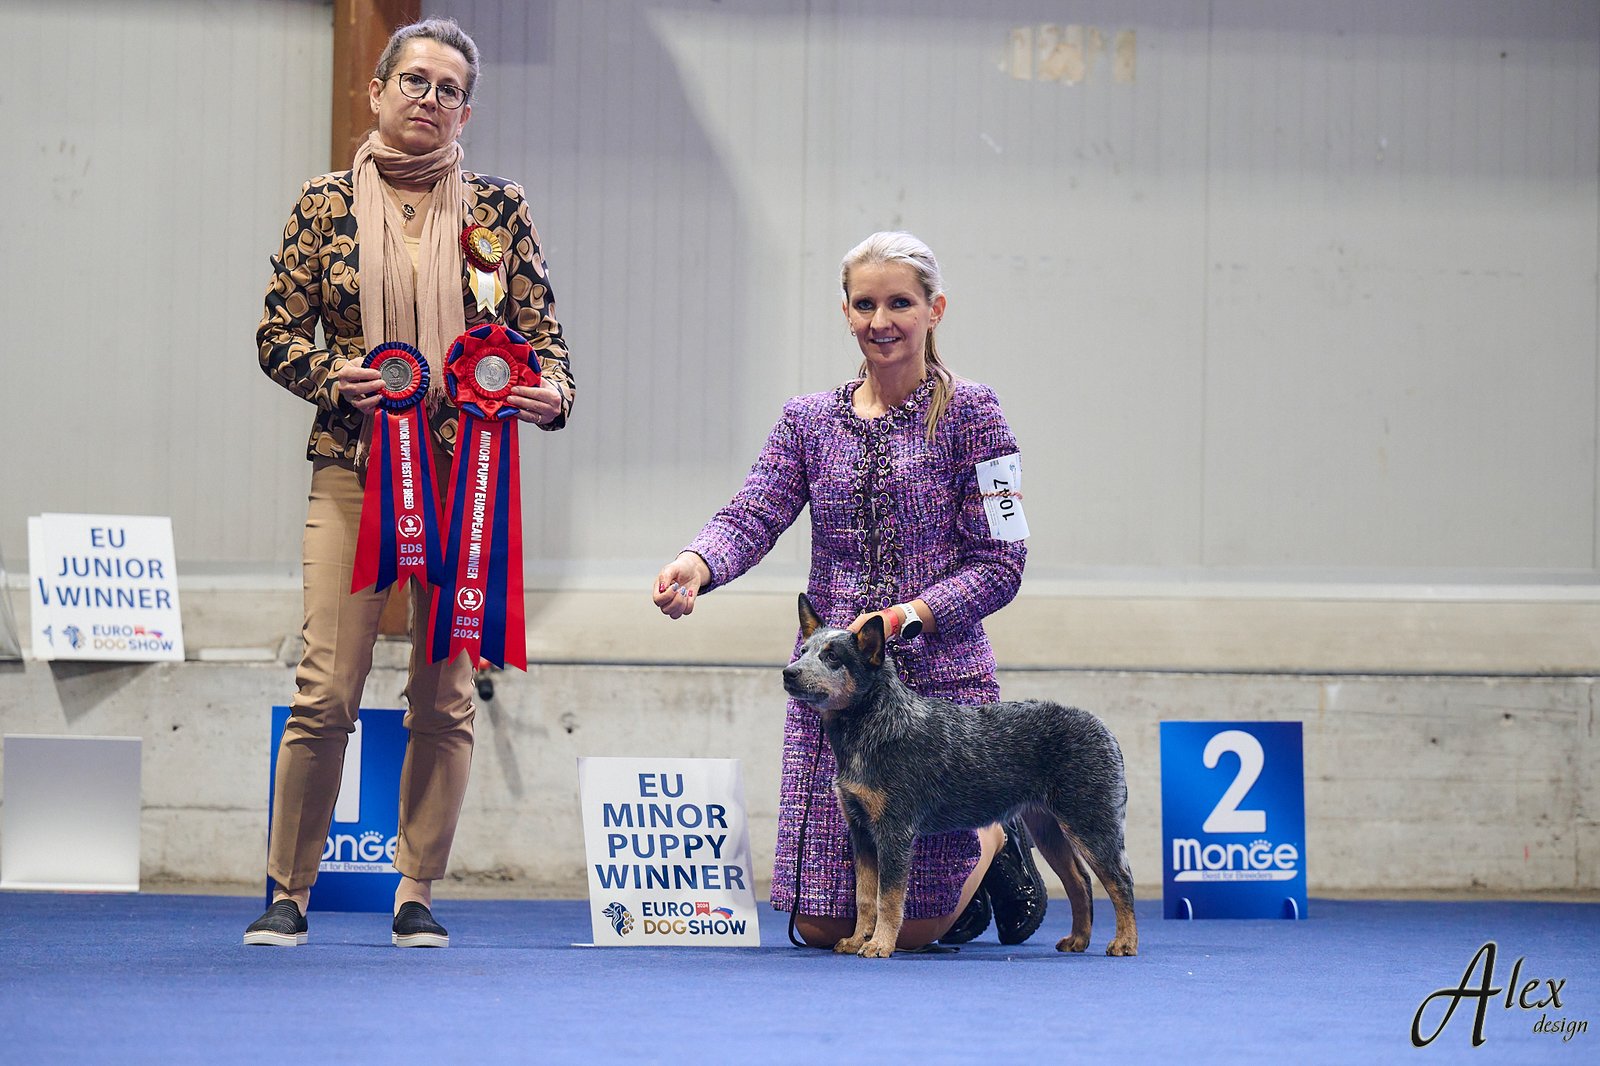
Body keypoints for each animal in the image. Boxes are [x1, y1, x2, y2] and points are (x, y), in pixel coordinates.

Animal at [781, 594, 1138, 959]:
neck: (873, 726)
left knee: (1120, 880)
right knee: (1079, 880)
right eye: (804, 651)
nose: (789, 673)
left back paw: (1125, 942)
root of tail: (1101, 726)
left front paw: (879, 944)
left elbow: (888, 898)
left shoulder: (895, 831)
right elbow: (865, 897)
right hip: (1047, 827)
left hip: (1090, 823)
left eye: (832, 656)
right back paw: (1078, 939)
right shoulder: (861, 830)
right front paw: (856, 940)